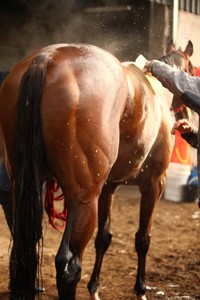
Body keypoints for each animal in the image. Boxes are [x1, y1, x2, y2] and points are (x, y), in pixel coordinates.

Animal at [0, 43, 175, 298]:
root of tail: (46, 59)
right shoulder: (154, 184)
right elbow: (143, 239)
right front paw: (140, 289)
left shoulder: (108, 188)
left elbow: (104, 237)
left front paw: (94, 288)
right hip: (84, 200)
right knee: (68, 266)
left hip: (24, 188)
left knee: (23, 250)